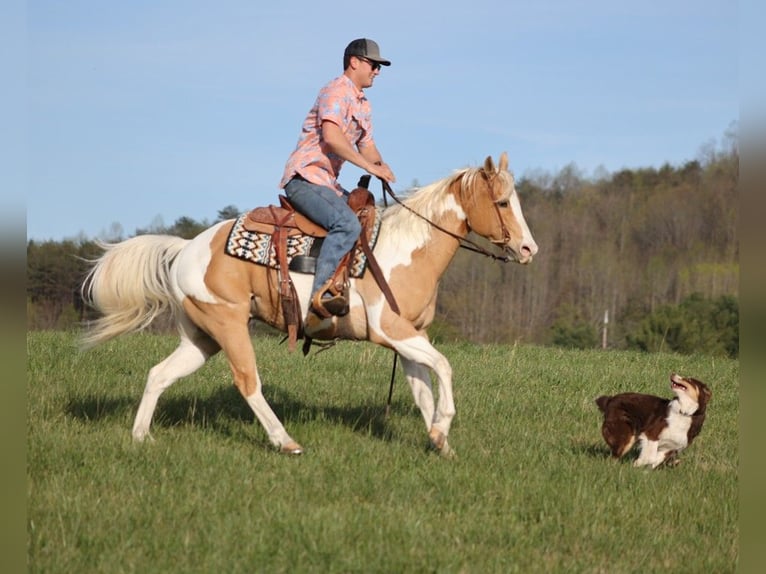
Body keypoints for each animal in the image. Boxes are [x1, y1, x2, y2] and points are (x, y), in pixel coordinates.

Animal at [82, 153, 540, 460]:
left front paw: (439, 441)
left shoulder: (409, 337)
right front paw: (444, 427)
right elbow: (444, 367)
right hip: (228, 325)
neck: (408, 250)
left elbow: (422, 388)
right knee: (248, 383)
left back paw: (141, 437)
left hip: (201, 338)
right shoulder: (390, 330)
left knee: (158, 375)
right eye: (502, 203)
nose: (528, 249)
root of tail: (185, 249)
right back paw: (285, 442)